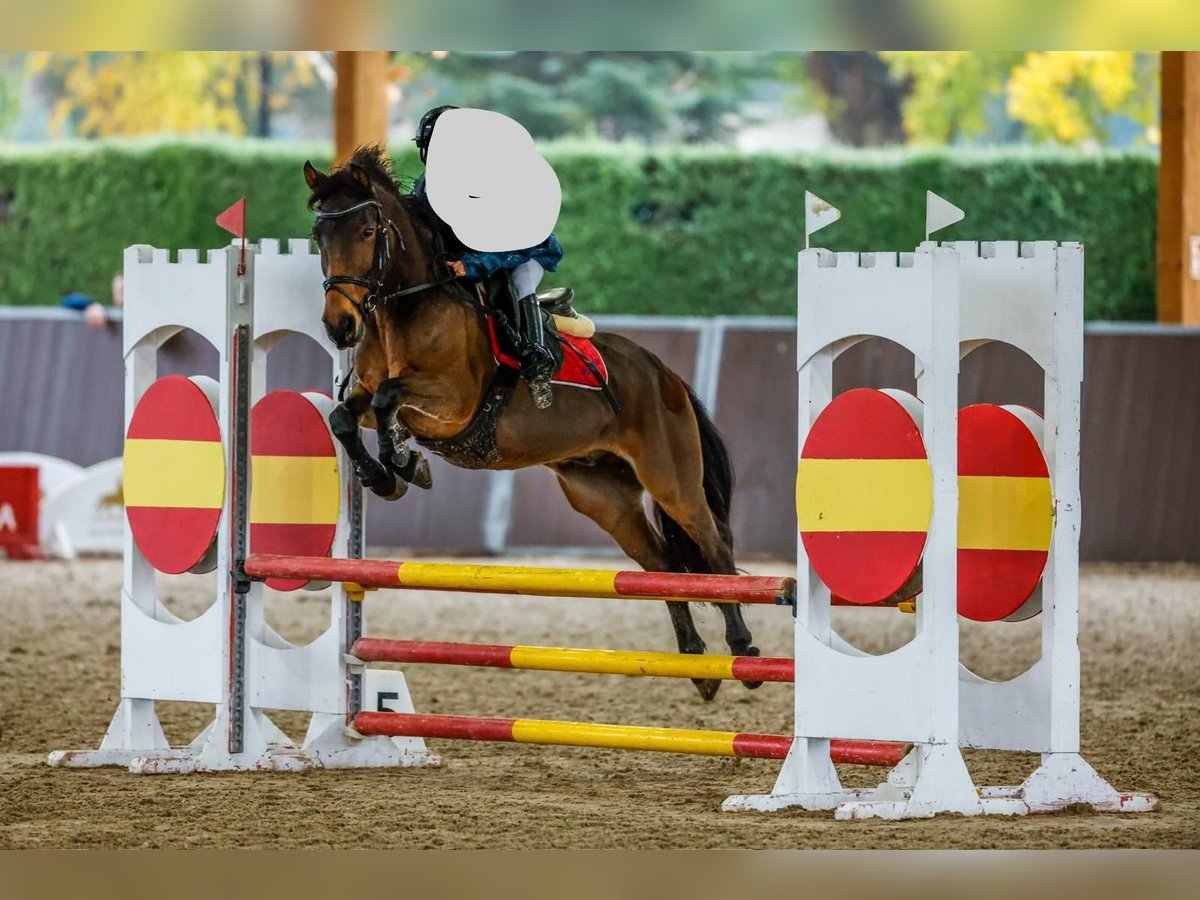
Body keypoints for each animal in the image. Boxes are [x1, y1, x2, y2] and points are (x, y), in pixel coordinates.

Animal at [303, 146, 760, 701]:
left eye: (368, 231)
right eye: (318, 236)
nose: (339, 327)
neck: (403, 311)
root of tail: (664, 374)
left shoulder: (454, 402)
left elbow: (392, 397)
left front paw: (403, 463)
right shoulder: (366, 397)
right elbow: (344, 417)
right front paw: (388, 473)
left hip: (671, 478)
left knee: (714, 546)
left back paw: (743, 651)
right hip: (602, 495)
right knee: (664, 565)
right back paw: (699, 665)